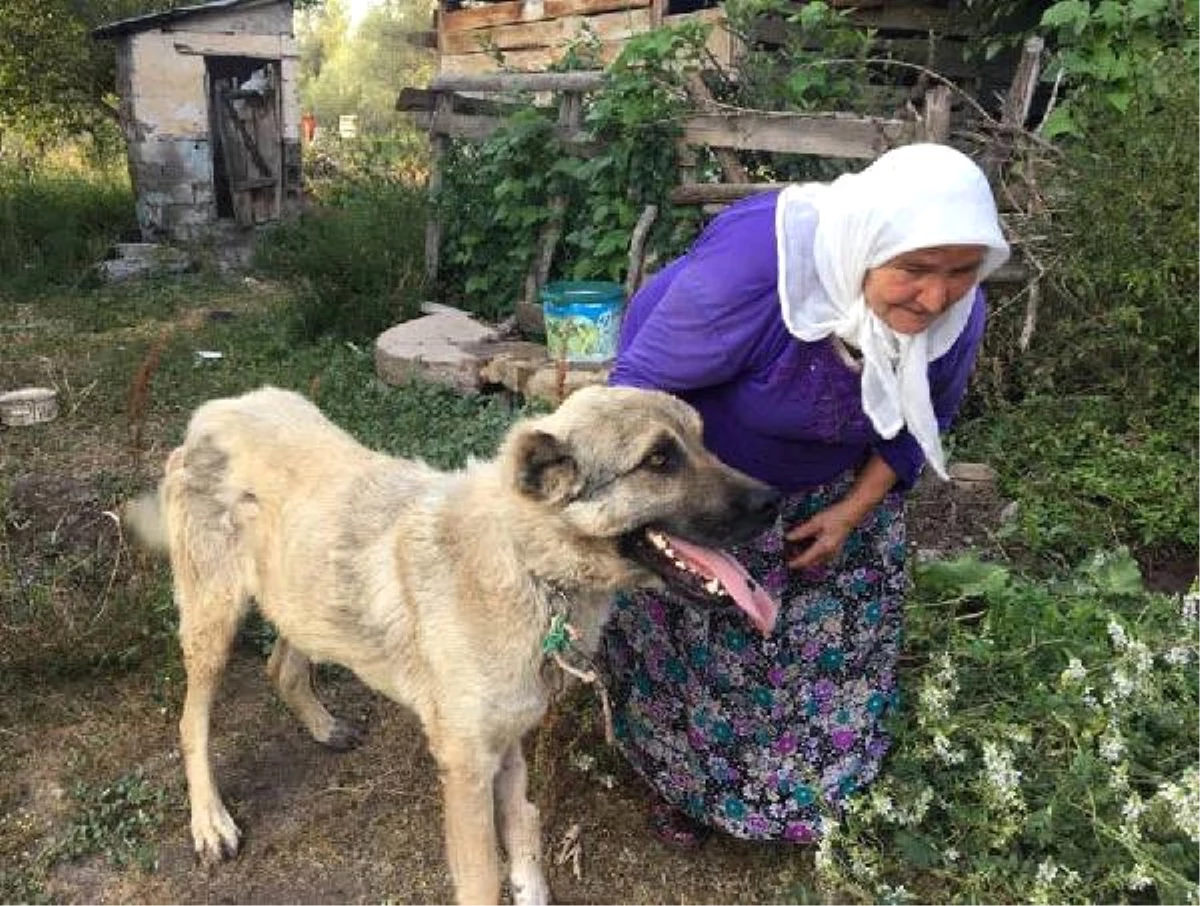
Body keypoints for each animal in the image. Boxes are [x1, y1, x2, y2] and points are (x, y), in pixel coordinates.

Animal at [126, 386, 782, 902]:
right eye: (658, 459)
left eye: (703, 441)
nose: (775, 502)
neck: (529, 563)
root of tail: (214, 412)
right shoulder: (466, 770)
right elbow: (483, 878)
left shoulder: (507, 745)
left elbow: (523, 834)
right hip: (213, 622)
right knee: (192, 723)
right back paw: (210, 821)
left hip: (301, 591)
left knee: (282, 665)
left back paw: (321, 723)